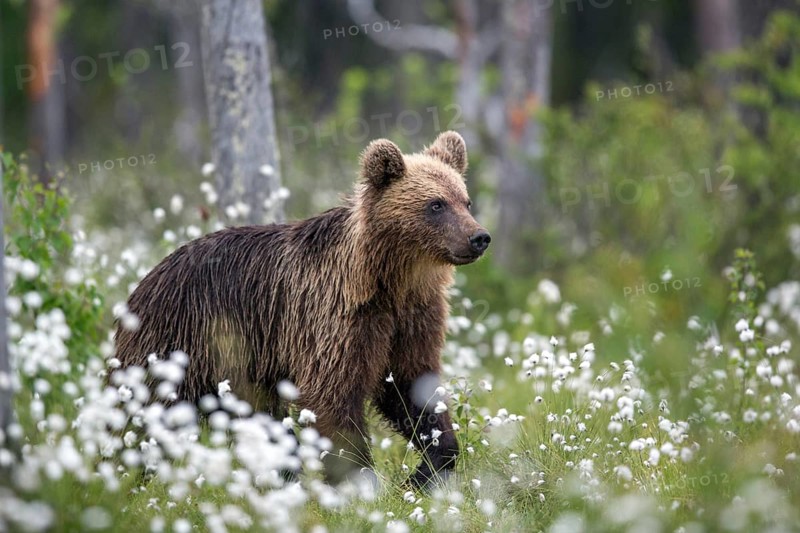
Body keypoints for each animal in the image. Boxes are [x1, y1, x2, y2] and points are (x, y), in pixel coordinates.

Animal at [113, 131, 491, 488]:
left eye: (465, 200)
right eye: (436, 204)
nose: (479, 237)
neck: (391, 281)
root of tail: (144, 281)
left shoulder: (412, 318)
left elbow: (413, 387)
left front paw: (426, 470)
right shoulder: (333, 317)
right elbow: (333, 394)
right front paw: (360, 481)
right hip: (178, 341)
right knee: (147, 409)